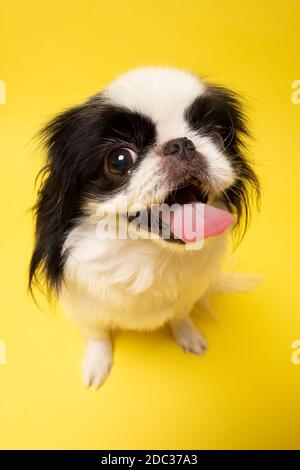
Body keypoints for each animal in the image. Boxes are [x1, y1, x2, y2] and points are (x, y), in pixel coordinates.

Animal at [29, 67, 260, 390]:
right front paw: (97, 363)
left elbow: (180, 315)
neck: (148, 255)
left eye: (215, 136)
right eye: (119, 160)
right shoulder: (83, 306)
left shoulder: (189, 293)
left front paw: (187, 334)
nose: (182, 143)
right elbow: (97, 333)